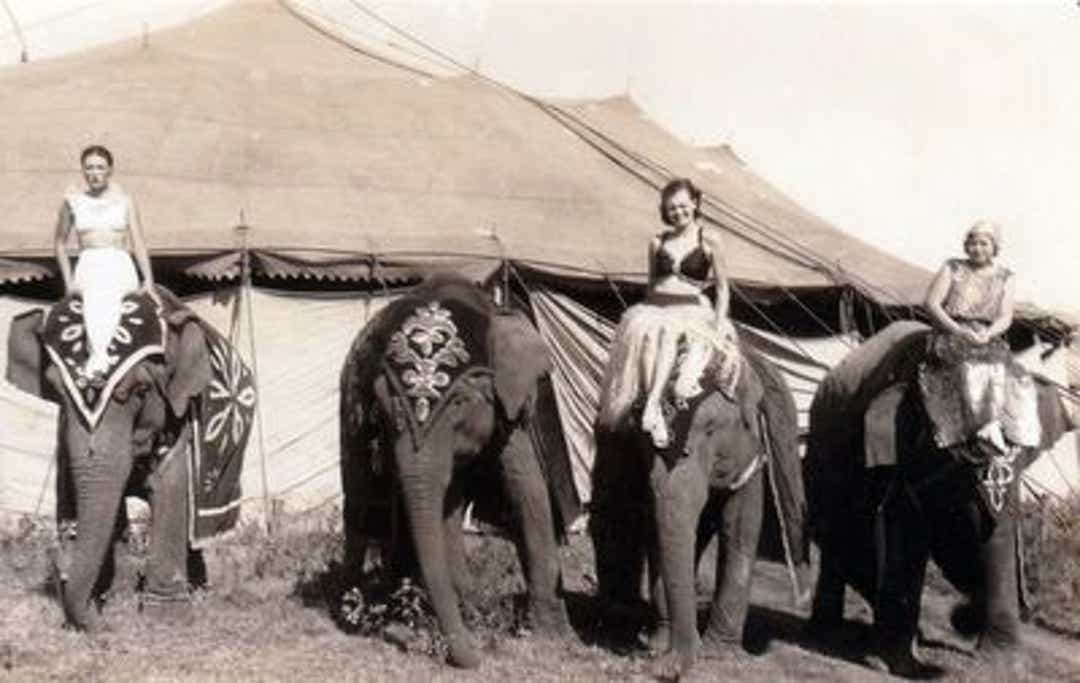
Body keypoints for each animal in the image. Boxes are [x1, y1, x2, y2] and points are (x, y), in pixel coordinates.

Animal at [5, 287, 252, 631]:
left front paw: (165, 615)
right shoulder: (65, 435)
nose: (58, 557)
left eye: (141, 390)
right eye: (56, 391)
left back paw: (200, 591)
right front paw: (110, 600)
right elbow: (82, 493)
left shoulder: (178, 418)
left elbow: (170, 489)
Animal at [341, 272, 583, 665]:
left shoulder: (508, 405)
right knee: (359, 497)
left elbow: (526, 487)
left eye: (459, 403)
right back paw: (359, 608)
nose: (476, 659)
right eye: (385, 409)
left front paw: (553, 637)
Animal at [591, 337, 812, 678]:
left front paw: (718, 655)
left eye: (711, 429)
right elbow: (658, 525)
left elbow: (740, 529)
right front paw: (663, 651)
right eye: (644, 439)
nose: (665, 670)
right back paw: (659, 638)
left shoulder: (752, 454)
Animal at [807, 319, 1075, 678]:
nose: (963, 617)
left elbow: (996, 535)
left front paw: (1006, 667)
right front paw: (896, 664)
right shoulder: (895, 455)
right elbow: (904, 531)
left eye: (1024, 450)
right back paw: (829, 631)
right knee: (838, 539)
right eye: (953, 456)